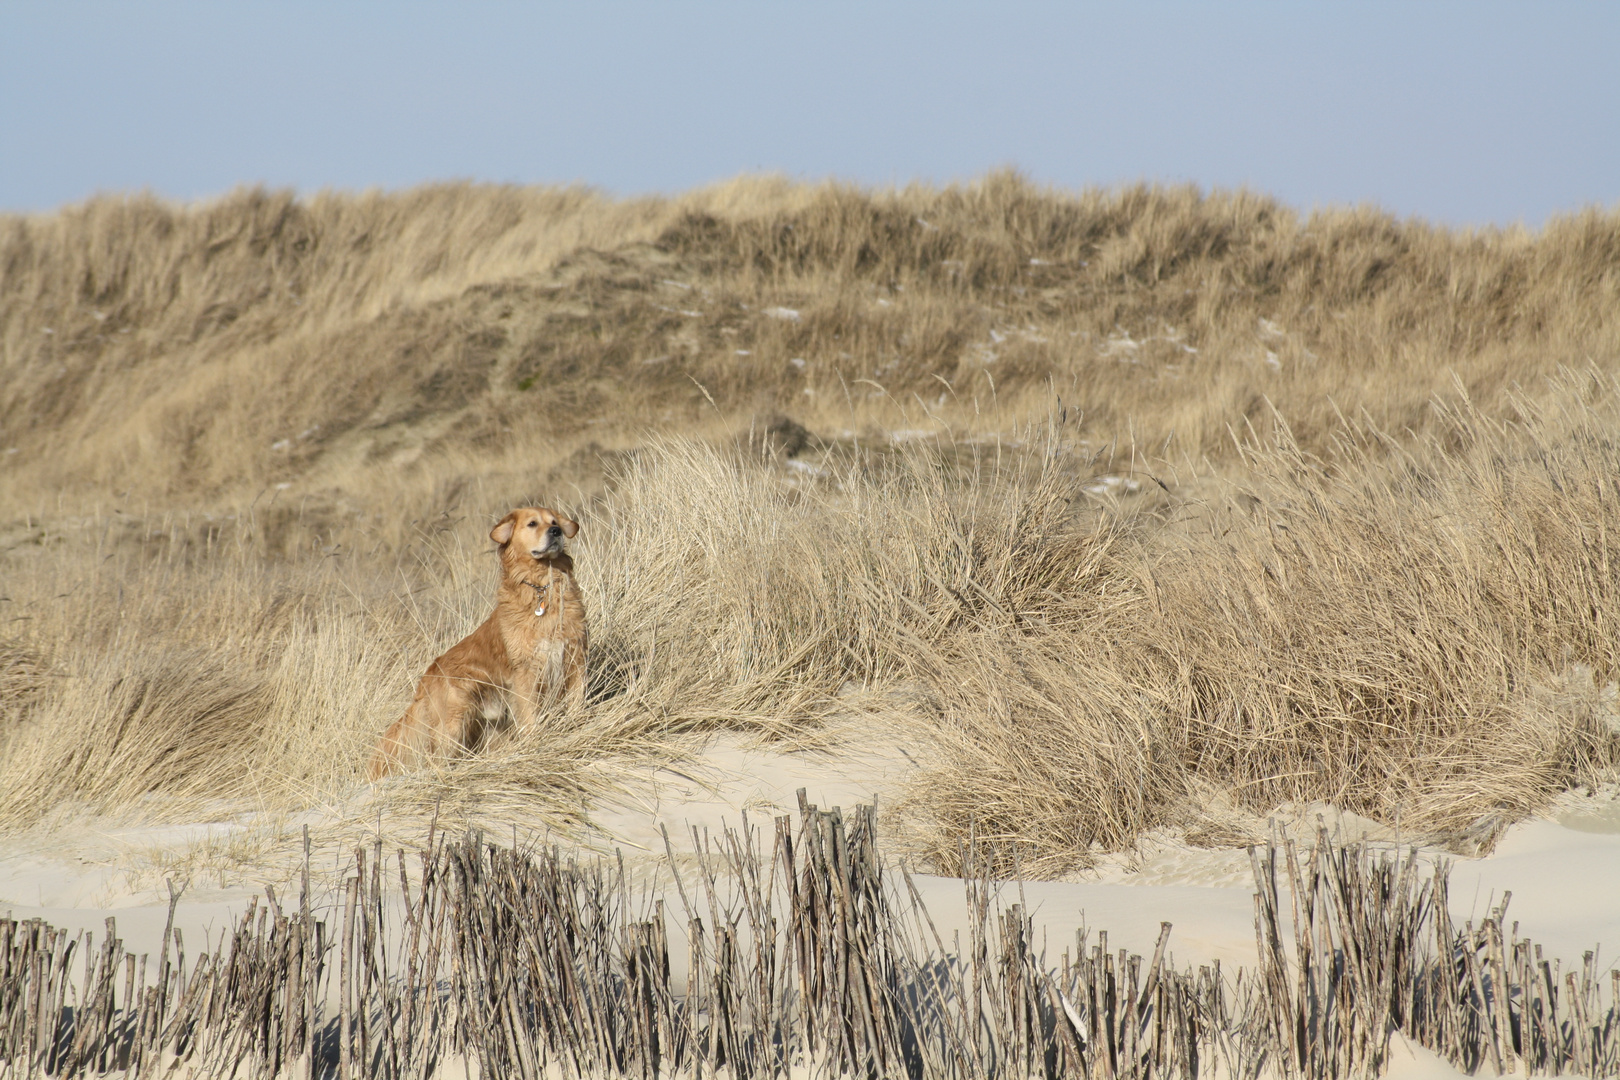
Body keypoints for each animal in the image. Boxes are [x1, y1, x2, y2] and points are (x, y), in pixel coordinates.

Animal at [369, 505, 589, 777]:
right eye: (532, 524)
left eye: (554, 522)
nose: (556, 532)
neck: (543, 586)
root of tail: (425, 680)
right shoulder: (526, 672)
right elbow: (530, 716)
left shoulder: (575, 657)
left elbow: (577, 701)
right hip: (453, 724)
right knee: (437, 760)